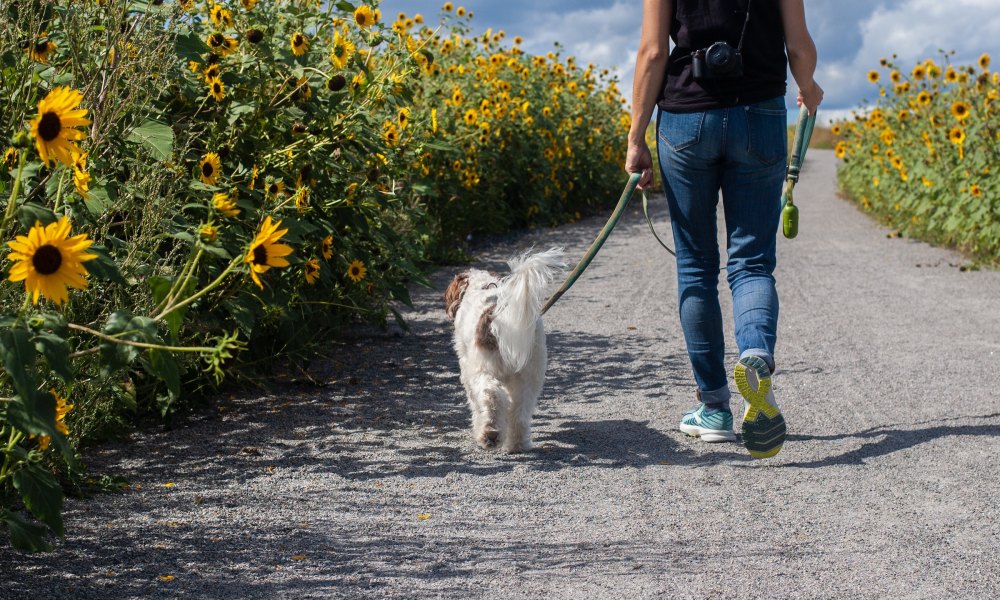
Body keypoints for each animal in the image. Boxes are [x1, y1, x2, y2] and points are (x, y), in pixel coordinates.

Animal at [444, 246, 568, 452]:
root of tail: (498, 314)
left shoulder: (468, 370)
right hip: (530, 374)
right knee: (520, 412)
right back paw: (517, 444)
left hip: (484, 370)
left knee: (492, 396)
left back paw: (490, 434)